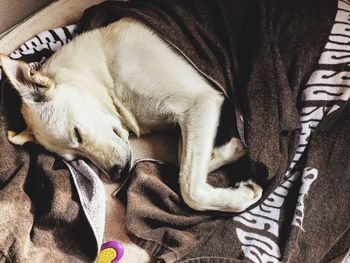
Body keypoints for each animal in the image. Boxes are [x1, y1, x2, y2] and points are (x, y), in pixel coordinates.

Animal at [0, 18, 262, 212]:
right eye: (75, 159)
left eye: (77, 134)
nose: (118, 173)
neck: (105, 72)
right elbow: (183, 165)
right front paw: (230, 153)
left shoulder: (200, 100)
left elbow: (189, 187)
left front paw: (241, 195)